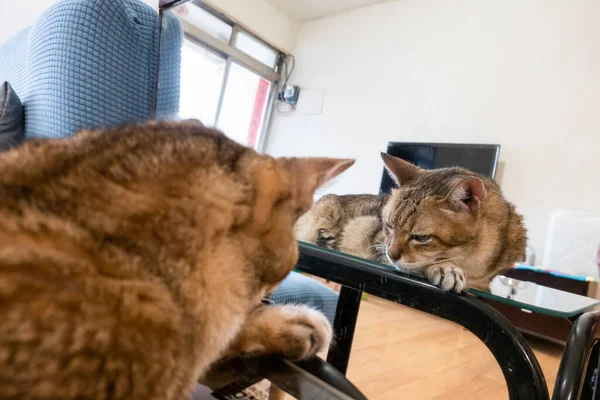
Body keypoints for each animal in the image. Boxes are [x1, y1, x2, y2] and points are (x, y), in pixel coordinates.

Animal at [296, 152, 524, 290]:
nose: (391, 255)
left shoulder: (484, 283)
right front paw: (446, 269)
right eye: (388, 225)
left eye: (421, 238)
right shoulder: (378, 243)